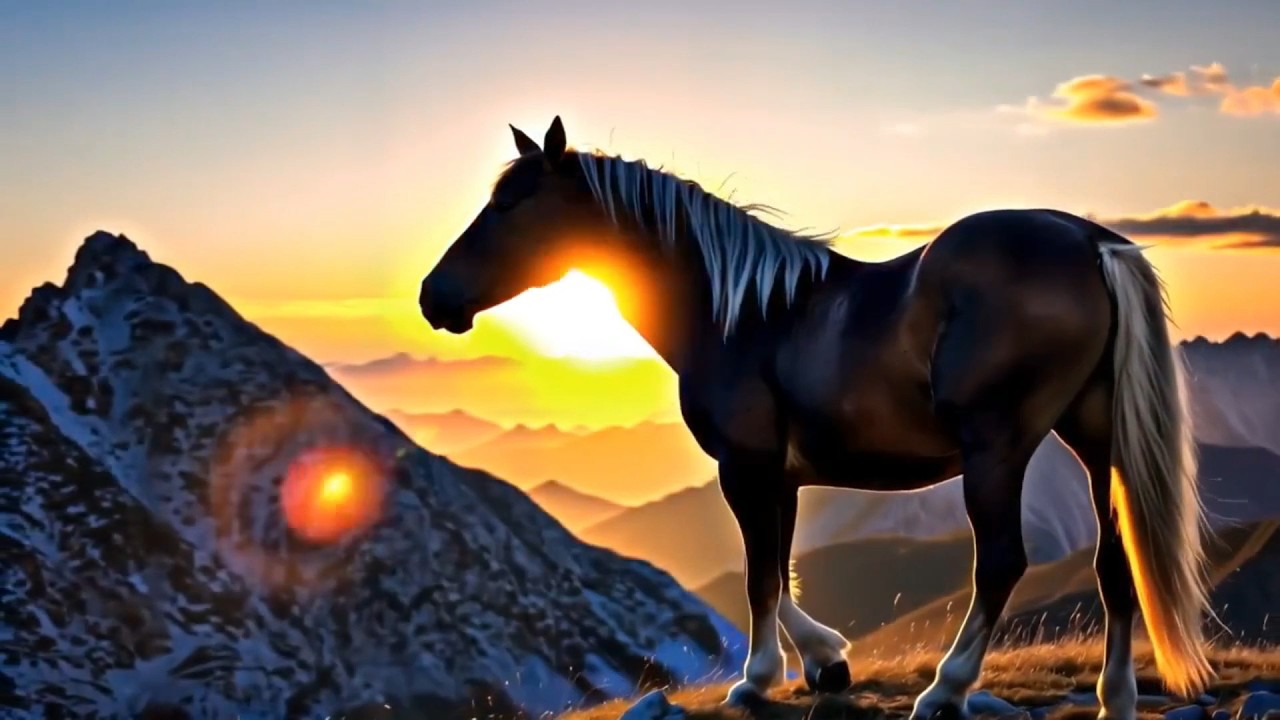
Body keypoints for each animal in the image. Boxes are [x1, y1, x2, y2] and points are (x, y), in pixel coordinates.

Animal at [417, 116, 1214, 720]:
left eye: (511, 204)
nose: (433, 297)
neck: (742, 315)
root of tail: (1089, 242)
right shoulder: (785, 476)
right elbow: (781, 568)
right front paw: (826, 661)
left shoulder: (745, 468)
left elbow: (759, 574)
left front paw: (760, 677)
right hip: (1096, 439)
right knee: (1115, 562)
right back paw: (1115, 698)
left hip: (998, 448)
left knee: (1001, 561)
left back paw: (945, 691)